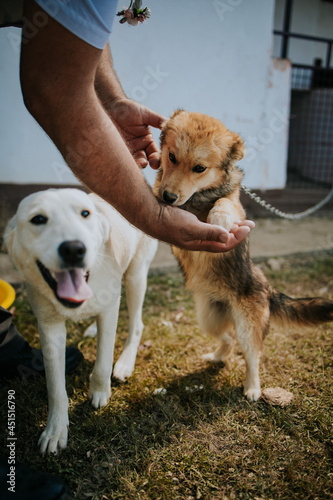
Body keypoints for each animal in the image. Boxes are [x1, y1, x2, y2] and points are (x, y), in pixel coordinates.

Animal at [3, 189, 157, 456]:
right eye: (38, 219)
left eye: (85, 214)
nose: (74, 249)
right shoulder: (49, 326)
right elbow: (55, 387)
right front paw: (55, 430)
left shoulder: (109, 310)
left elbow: (103, 362)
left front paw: (99, 392)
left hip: (136, 275)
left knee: (136, 324)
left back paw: (125, 362)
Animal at [154, 110, 332, 402]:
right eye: (171, 157)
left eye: (199, 168)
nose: (168, 197)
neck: (197, 198)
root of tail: (268, 288)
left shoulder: (237, 206)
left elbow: (225, 202)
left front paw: (219, 216)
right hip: (208, 318)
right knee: (228, 339)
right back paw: (216, 358)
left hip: (248, 326)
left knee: (252, 356)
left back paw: (253, 388)